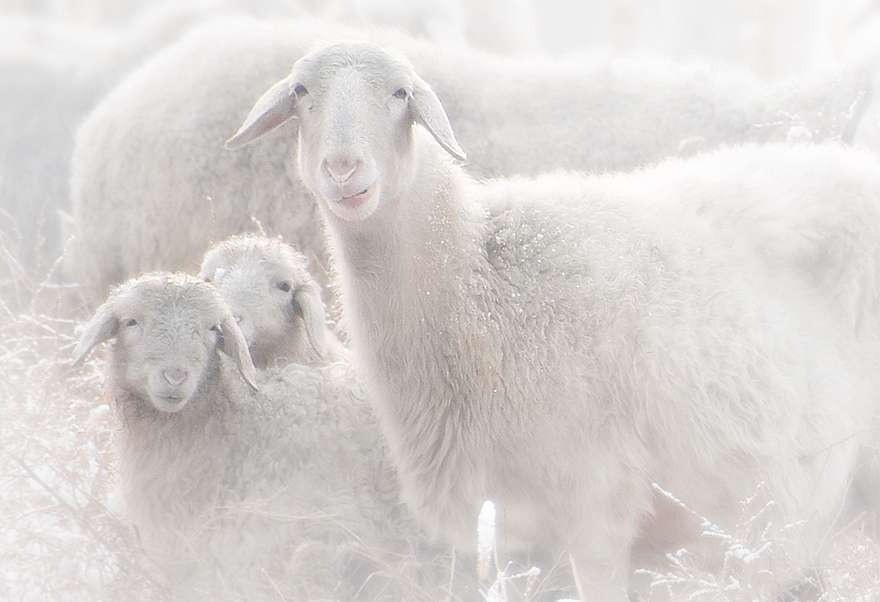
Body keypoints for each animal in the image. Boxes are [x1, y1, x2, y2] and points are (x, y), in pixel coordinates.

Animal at [223, 39, 880, 596]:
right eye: (302, 92)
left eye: (400, 93)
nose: (343, 171)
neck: (474, 278)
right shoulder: (514, 533)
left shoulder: (598, 501)